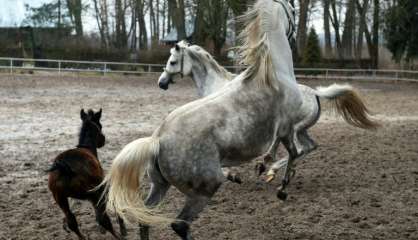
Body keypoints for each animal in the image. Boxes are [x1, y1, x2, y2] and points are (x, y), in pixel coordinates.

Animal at [47, 109, 125, 239]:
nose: (103, 140)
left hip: (60, 198)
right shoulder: (101, 188)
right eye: (100, 125)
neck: (87, 148)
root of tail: (64, 168)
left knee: (72, 222)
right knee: (102, 219)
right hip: (93, 194)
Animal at [157, 40, 378, 185]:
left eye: (172, 62)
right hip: (301, 129)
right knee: (308, 147)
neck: (217, 86)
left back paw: (270, 167)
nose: (161, 83)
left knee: (296, 148)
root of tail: (315, 93)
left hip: (293, 128)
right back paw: (273, 169)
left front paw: (233, 175)